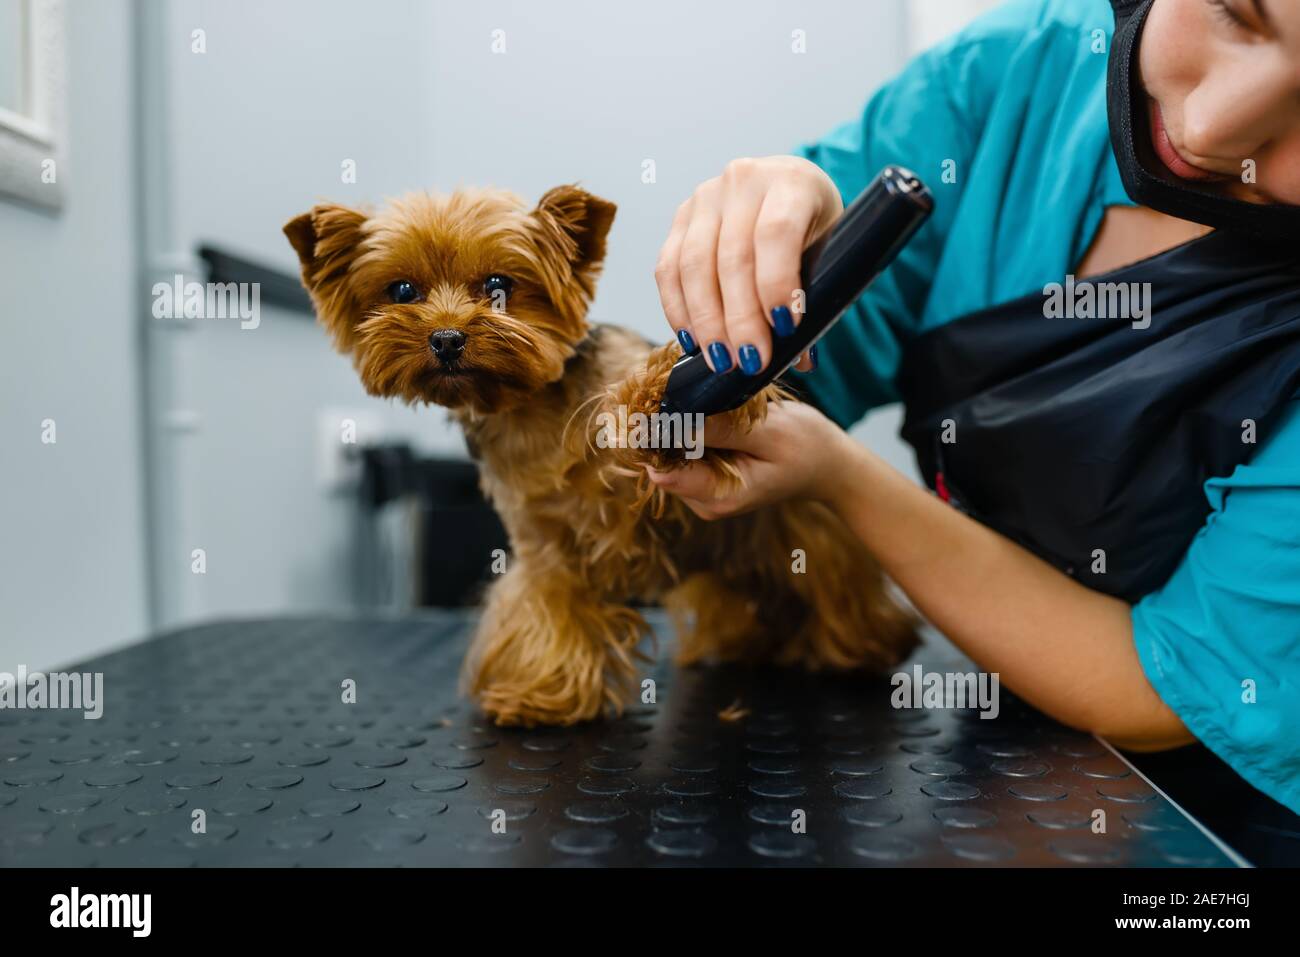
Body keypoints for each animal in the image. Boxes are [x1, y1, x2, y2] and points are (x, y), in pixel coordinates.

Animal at [284, 184, 915, 722]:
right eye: (402, 292)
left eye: (498, 284)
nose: (446, 338)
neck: (531, 410)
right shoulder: (545, 546)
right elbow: (549, 609)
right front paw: (544, 692)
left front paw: (651, 397)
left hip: (805, 534)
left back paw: (863, 645)